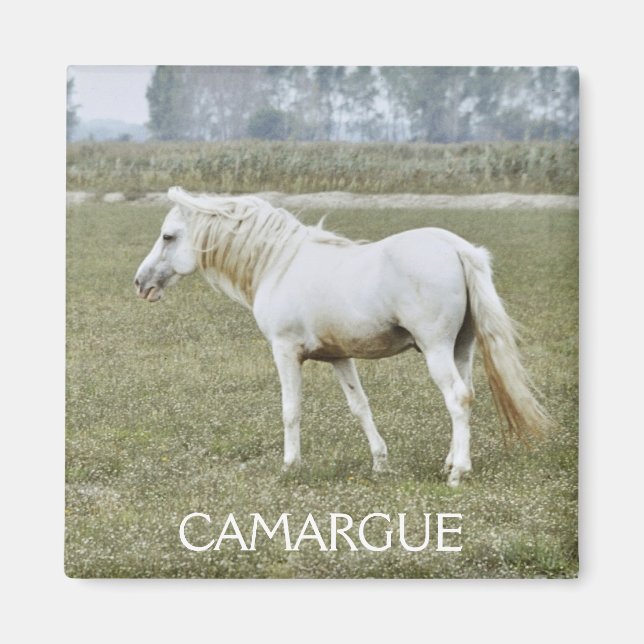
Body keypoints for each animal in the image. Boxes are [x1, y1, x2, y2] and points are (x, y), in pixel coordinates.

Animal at [134, 187, 549, 486]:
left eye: (168, 236)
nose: (140, 283)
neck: (278, 263)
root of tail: (457, 247)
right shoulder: (339, 357)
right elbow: (360, 407)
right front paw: (380, 463)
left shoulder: (284, 352)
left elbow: (290, 410)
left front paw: (290, 466)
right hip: (461, 350)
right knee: (467, 396)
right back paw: (449, 462)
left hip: (436, 350)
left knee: (458, 398)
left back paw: (458, 472)